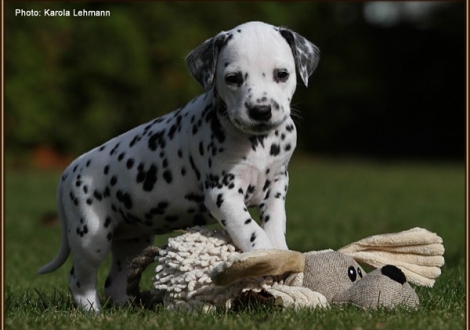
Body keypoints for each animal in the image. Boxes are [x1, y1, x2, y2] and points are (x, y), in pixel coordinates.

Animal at [37, 21, 320, 312]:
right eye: (233, 78)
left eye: (282, 74)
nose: (261, 111)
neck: (257, 143)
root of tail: (69, 171)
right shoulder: (223, 195)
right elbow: (252, 232)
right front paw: (265, 259)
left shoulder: (275, 189)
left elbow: (274, 228)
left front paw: (283, 261)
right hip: (90, 236)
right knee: (80, 279)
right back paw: (93, 311)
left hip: (132, 241)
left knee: (115, 279)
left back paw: (128, 307)